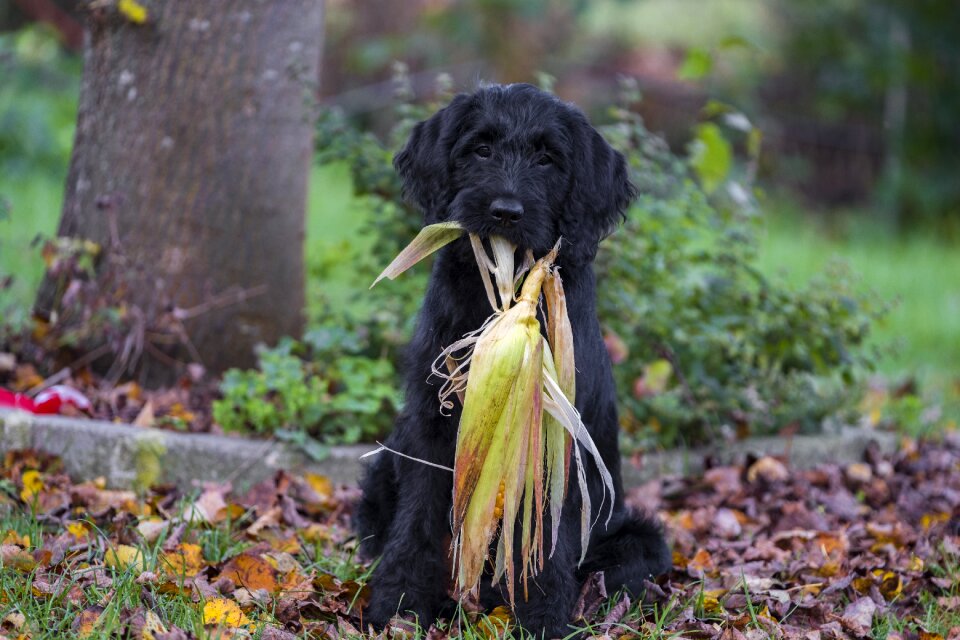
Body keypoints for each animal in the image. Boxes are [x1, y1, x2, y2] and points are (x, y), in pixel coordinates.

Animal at [356, 84, 672, 636]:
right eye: (481, 148)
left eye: (547, 158)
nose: (505, 210)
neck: (503, 295)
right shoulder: (431, 429)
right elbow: (417, 518)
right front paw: (399, 602)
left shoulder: (558, 438)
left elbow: (545, 535)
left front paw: (541, 615)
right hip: (383, 467)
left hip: (638, 536)